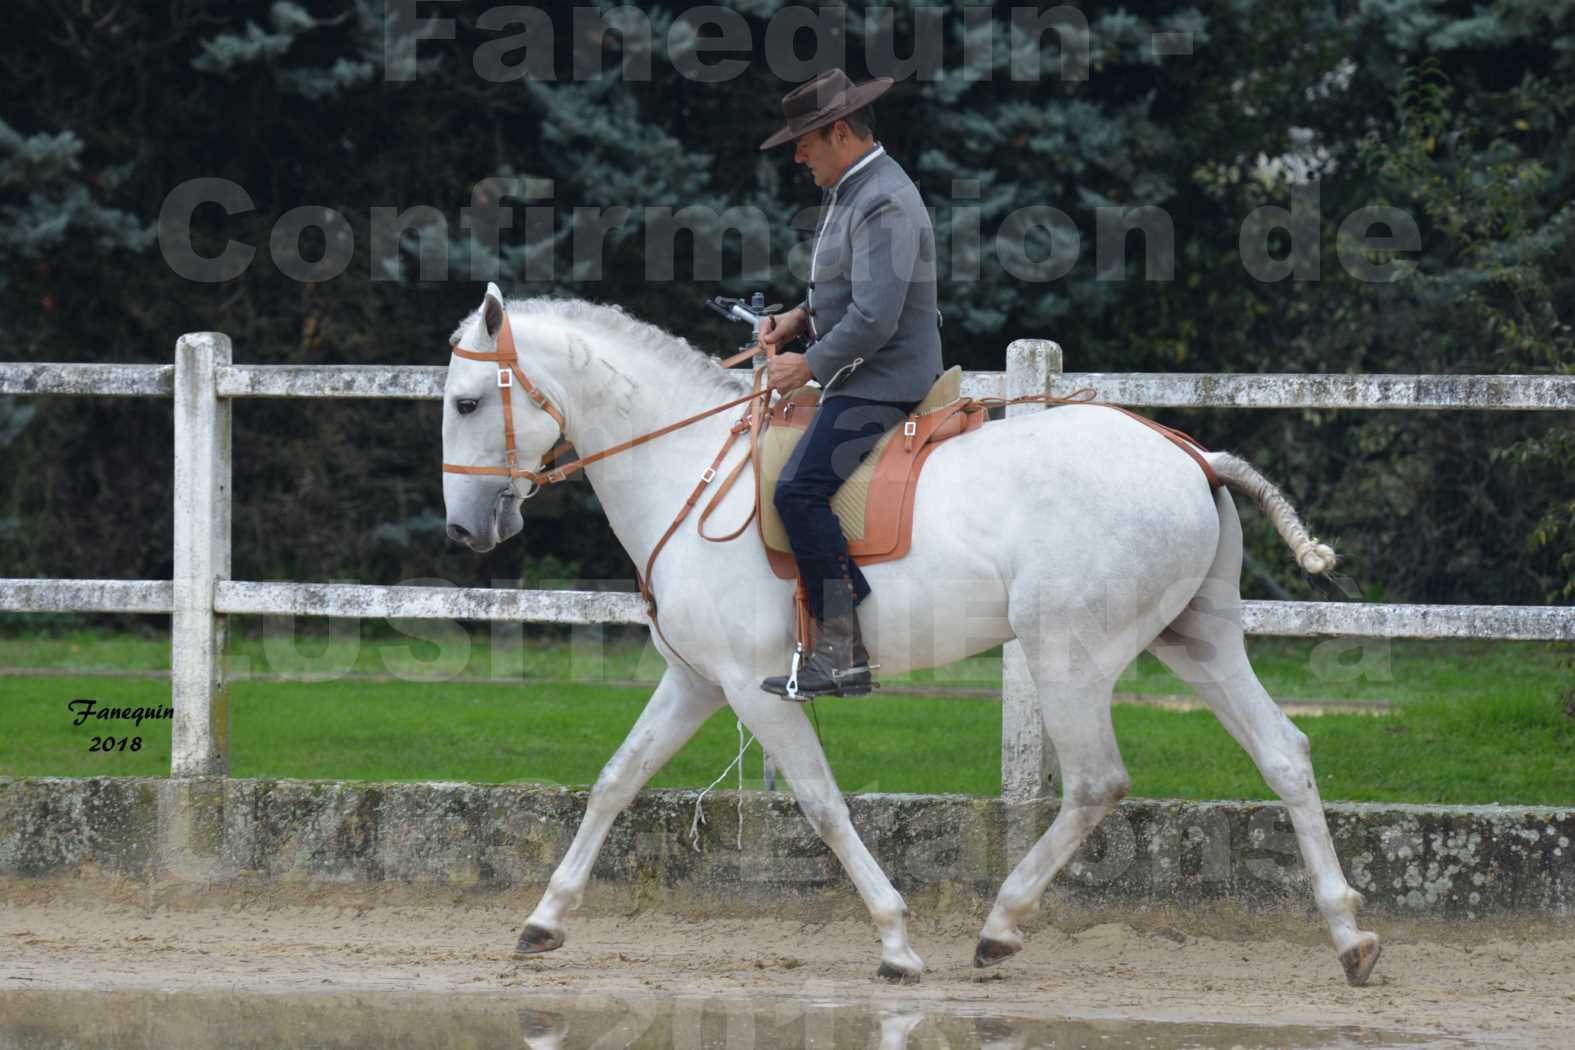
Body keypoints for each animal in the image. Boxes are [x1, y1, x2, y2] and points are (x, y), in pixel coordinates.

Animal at [441, 284, 1379, 988]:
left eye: (466, 401)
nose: (464, 531)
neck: (691, 466)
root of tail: (1190, 455)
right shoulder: (697, 681)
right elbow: (615, 780)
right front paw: (543, 920)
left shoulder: (753, 688)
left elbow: (820, 803)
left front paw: (895, 941)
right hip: (1197, 641)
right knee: (1285, 753)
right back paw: (1349, 938)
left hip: (1068, 657)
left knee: (1094, 783)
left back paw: (1000, 925)